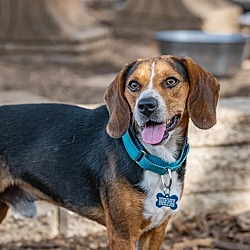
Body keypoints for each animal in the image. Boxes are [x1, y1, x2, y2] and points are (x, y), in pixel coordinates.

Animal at [0, 55, 219, 249]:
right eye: (133, 85)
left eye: (171, 81)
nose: (146, 105)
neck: (154, 159)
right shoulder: (122, 234)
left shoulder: (155, 231)